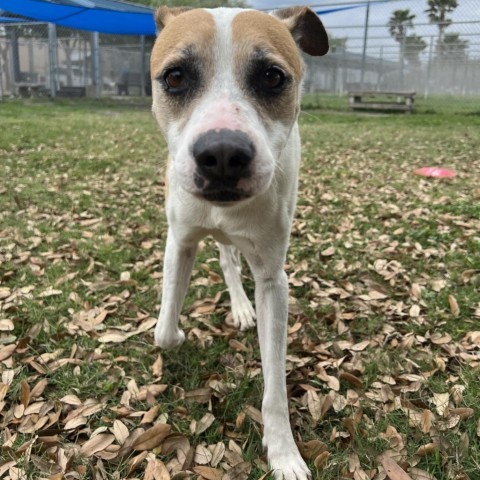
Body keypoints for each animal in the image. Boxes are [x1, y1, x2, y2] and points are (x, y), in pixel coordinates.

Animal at [152, 7, 328, 480]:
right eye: (175, 77)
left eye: (272, 76)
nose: (223, 155)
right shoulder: (179, 242)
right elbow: (163, 332)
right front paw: (178, 332)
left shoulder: (272, 279)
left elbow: (275, 386)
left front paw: (284, 453)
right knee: (226, 257)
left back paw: (242, 306)